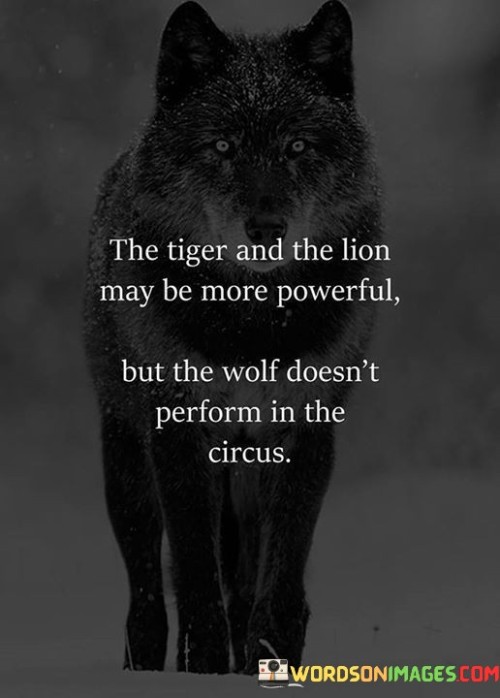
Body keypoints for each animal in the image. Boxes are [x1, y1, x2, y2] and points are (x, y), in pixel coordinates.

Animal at [85, 0, 382, 674]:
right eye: (223, 145)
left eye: (296, 145)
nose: (266, 228)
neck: (251, 324)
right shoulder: (178, 434)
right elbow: (195, 570)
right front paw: (203, 666)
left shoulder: (304, 432)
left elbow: (281, 571)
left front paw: (270, 659)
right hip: (128, 459)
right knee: (147, 583)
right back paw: (144, 664)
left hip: (242, 473)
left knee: (242, 575)